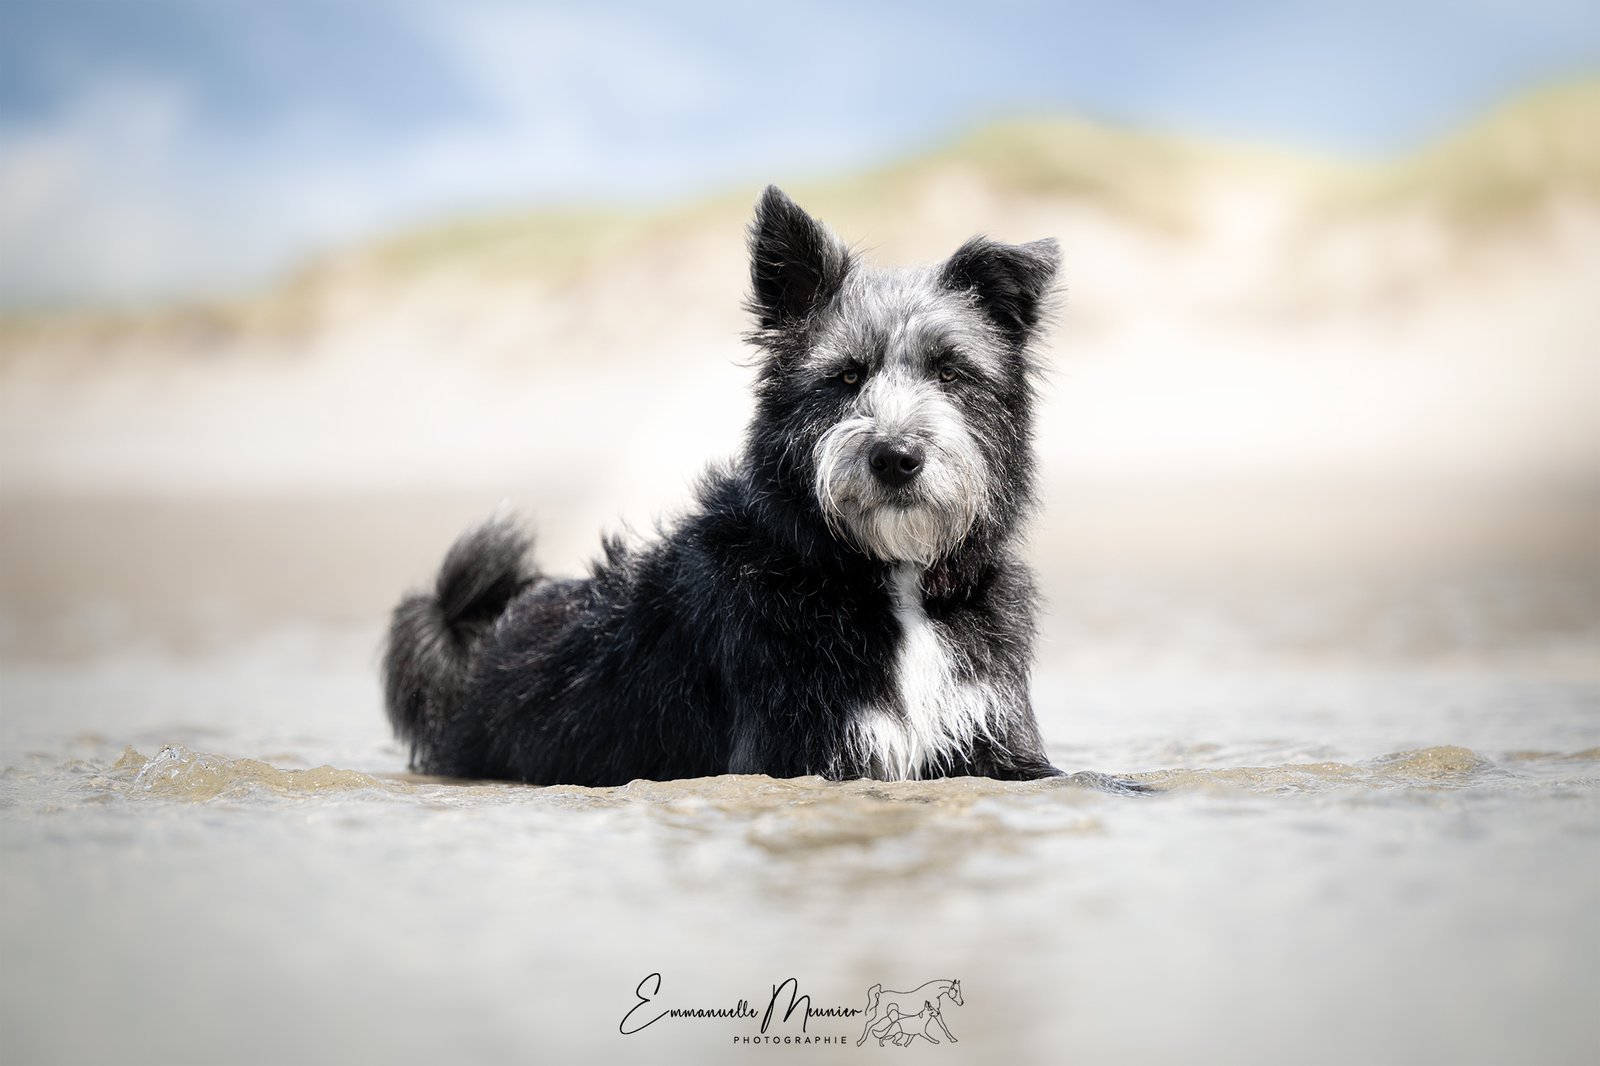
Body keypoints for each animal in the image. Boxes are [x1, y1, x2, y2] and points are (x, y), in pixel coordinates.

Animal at [380, 182, 1068, 784]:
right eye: (846, 377)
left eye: (951, 372)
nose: (897, 457)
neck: (883, 575)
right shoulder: (796, 752)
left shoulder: (999, 741)